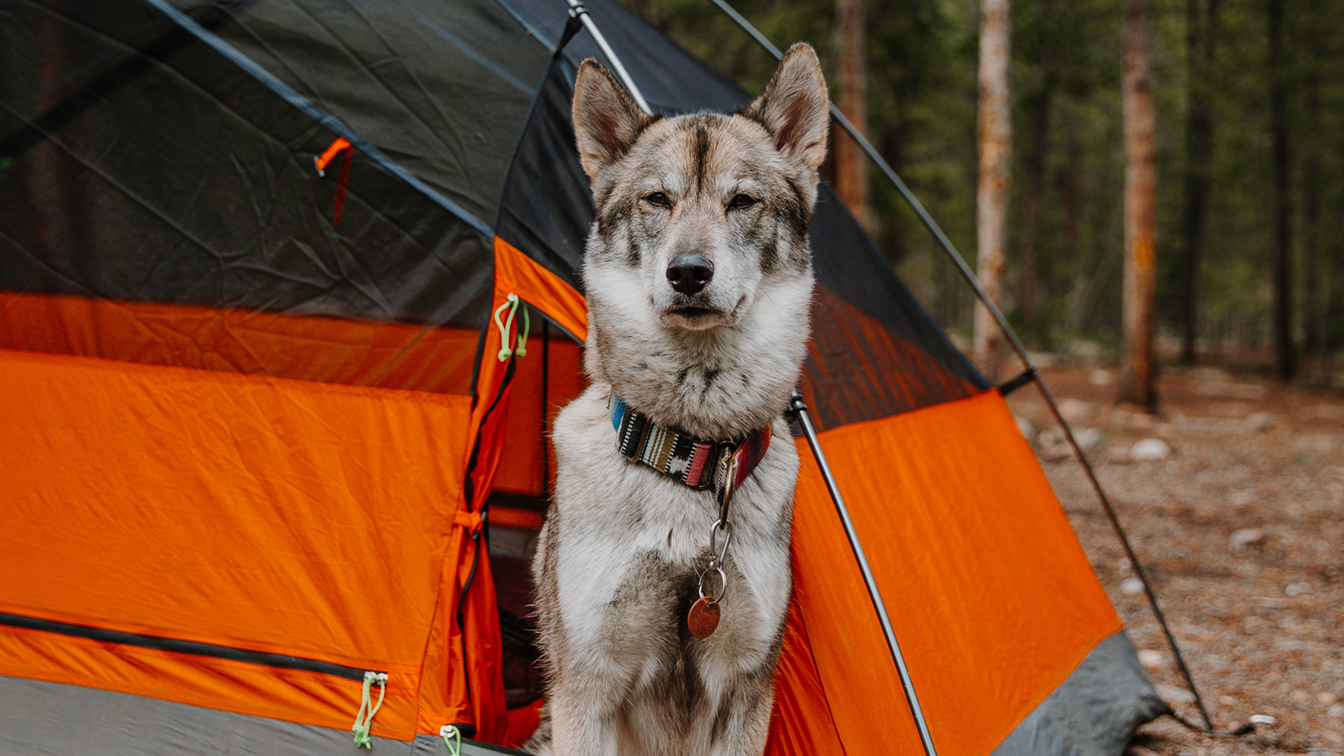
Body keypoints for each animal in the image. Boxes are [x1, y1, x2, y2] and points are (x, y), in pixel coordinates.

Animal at [526, 44, 827, 753]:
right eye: (657, 200)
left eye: (742, 201)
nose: (688, 272)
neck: (688, 453)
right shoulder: (587, 686)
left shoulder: (747, 690)